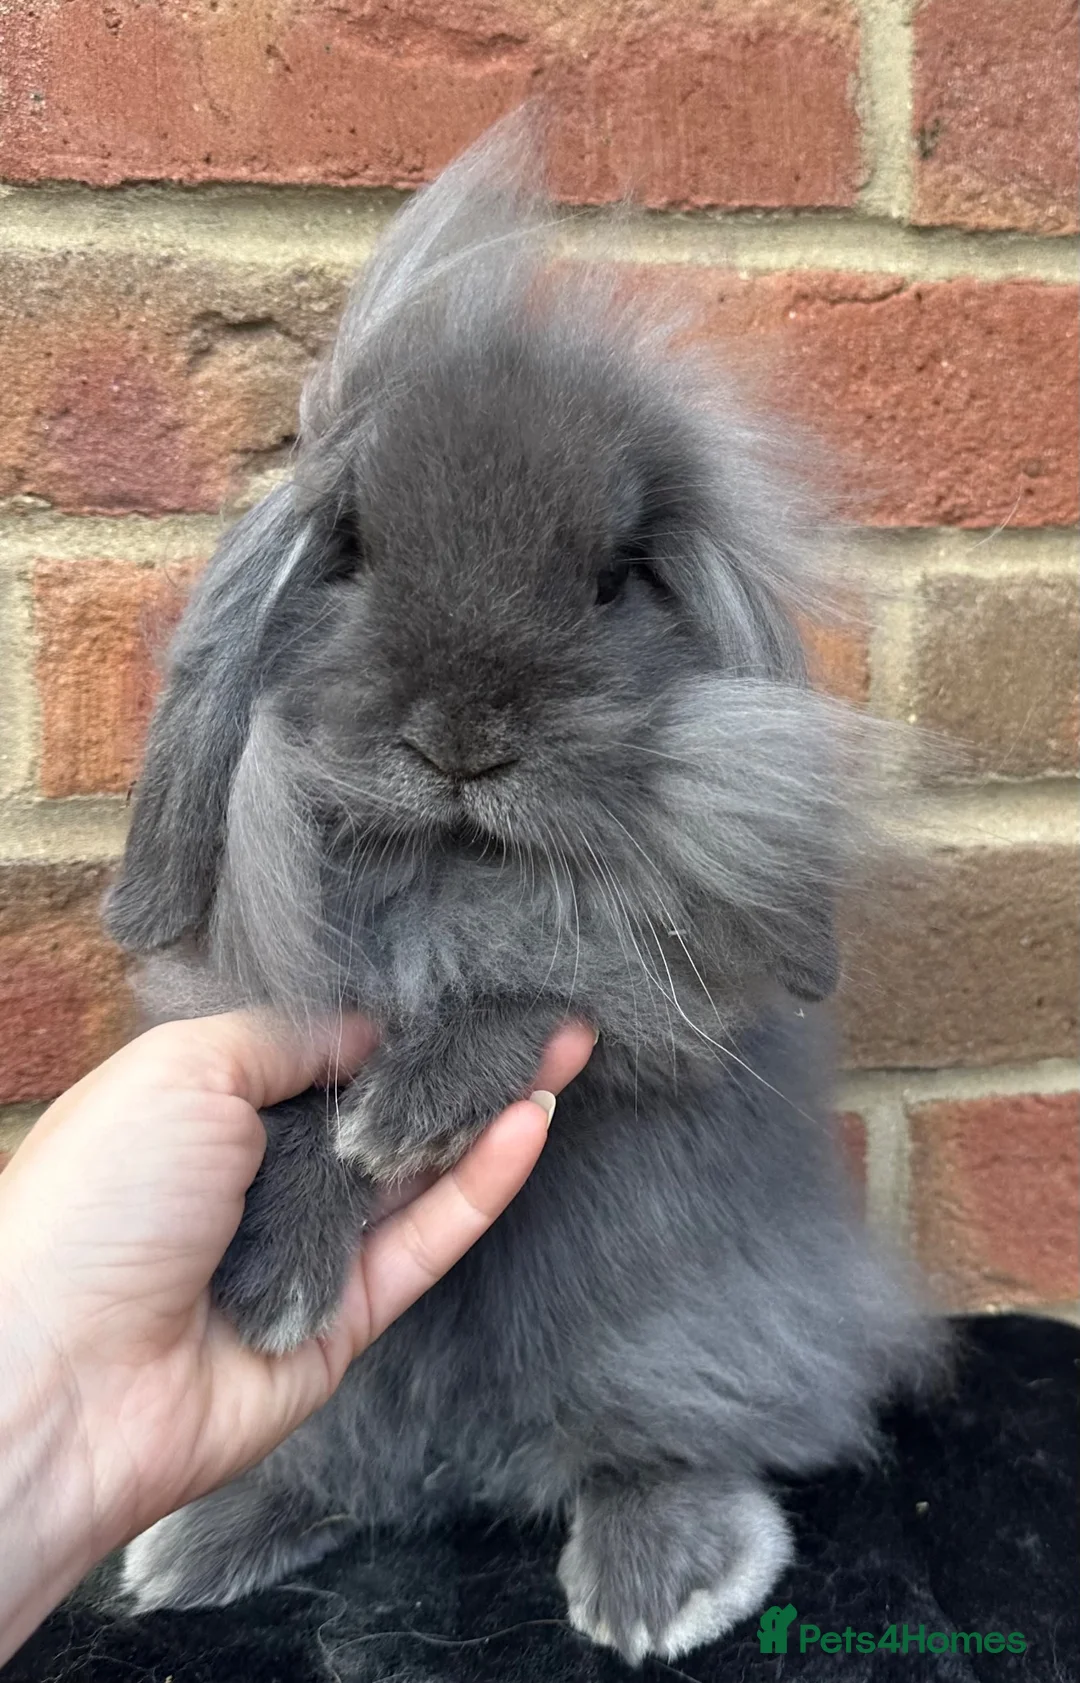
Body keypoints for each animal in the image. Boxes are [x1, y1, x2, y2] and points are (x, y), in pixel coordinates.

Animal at [106, 115, 938, 1664]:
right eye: (354, 551)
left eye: (617, 579)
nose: (461, 740)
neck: (450, 875)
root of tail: (474, 1466)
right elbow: (299, 1102)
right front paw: (273, 1281)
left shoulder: (652, 1007)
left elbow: (552, 985)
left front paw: (407, 1112)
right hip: (361, 1415)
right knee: (343, 1470)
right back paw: (210, 1533)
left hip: (689, 1328)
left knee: (679, 1430)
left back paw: (662, 1575)